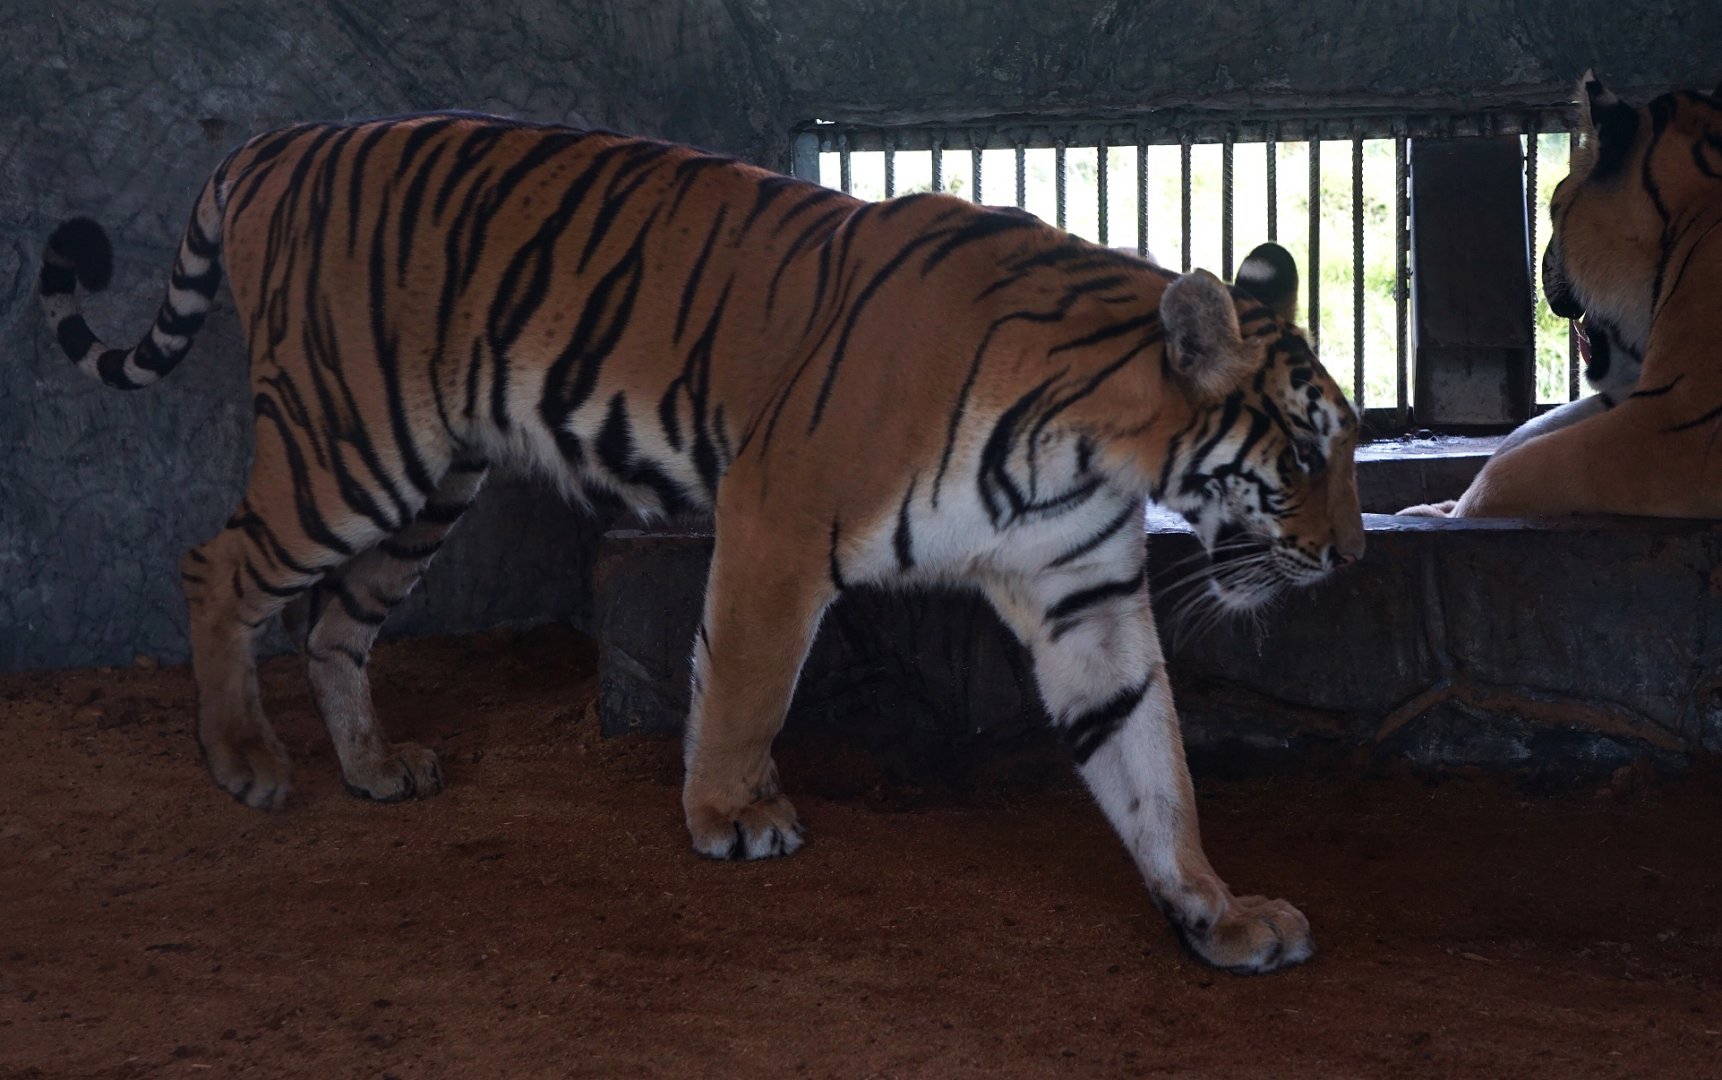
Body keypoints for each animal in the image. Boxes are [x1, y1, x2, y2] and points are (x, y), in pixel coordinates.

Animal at [38, 113, 1363, 974]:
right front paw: (729, 814)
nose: (1352, 558)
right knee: (218, 569)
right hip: (349, 451)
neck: (1099, 444)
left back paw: (372, 768)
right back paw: (245, 762)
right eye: (1306, 456)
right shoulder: (779, 516)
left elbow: (1151, 764)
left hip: (431, 482)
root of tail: (269, 146)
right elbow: (744, 683)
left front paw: (1216, 910)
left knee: (333, 622)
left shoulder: (1085, 596)